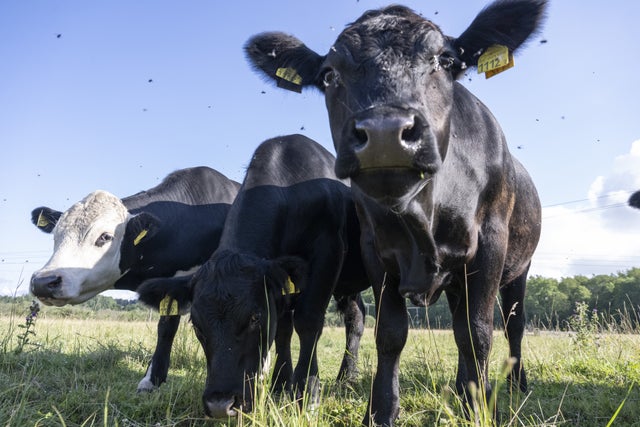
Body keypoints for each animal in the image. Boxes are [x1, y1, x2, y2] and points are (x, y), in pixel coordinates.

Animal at [181, 135, 370, 420]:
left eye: (254, 318)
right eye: (196, 325)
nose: (220, 405)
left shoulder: (329, 250)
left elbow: (307, 321)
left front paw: (307, 393)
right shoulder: (277, 282)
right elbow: (282, 329)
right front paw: (280, 387)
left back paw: (347, 378)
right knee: (356, 315)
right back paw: (346, 377)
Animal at [245, 1, 544, 426]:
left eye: (445, 60)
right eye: (329, 74)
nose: (385, 134)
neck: (423, 216)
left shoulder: (490, 243)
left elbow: (477, 332)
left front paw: (480, 408)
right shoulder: (376, 249)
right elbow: (390, 332)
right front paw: (382, 410)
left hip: (520, 267)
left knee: (512, 325)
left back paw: (513, 383)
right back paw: (461, 386)